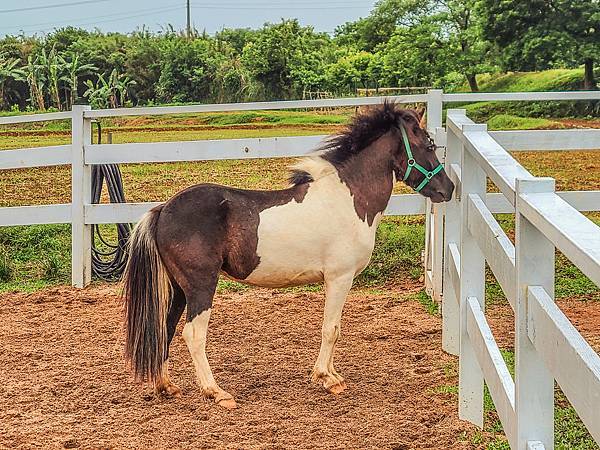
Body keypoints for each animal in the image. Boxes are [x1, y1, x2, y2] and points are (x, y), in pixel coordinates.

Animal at [123, 101, 454, 408]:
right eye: (428, 145)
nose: (448, 189)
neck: (348, 200)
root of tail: (163, 209)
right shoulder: (339, 278)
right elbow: (331, 328)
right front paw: (326, 379)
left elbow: (333, 327)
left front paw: (332, 374)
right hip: (201, 286)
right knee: (193, 334)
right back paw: (216, 392)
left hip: (179, 289)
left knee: (165, 329)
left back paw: (166, 386)